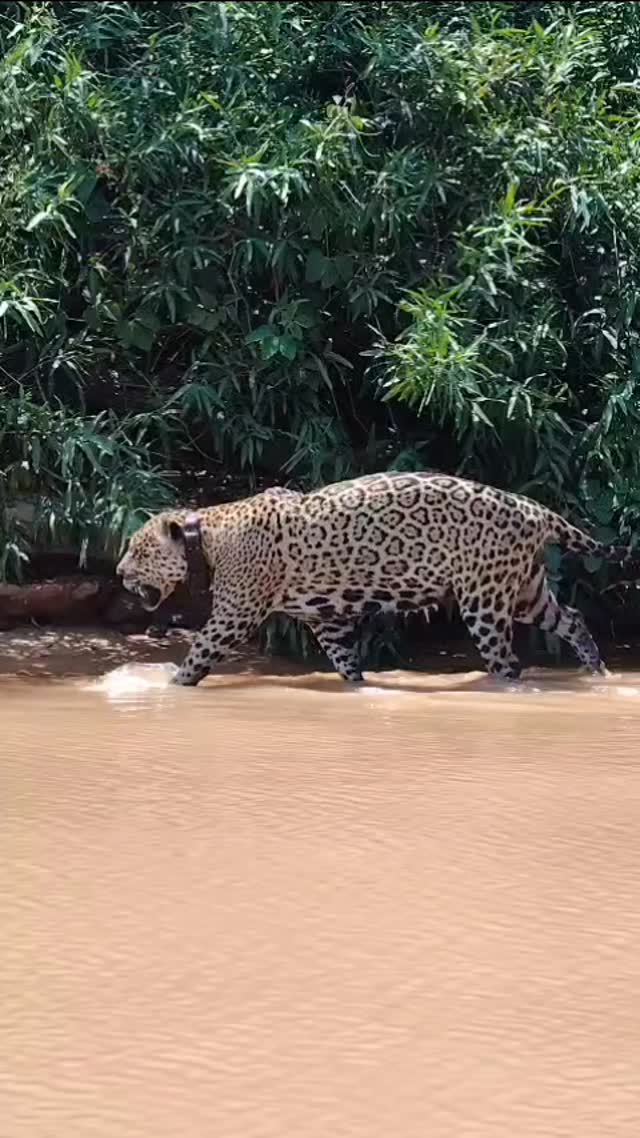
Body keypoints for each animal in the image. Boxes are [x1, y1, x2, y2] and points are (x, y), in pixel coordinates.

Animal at [115, 471, 636, 687]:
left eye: (137, 550)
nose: (118, 573)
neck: (207, 535)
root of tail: (534, 508)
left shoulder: (234, 615)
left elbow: (197, 656)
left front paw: (166, 687)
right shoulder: (325, 620)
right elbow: (345, 661)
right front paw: (360, 688)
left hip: (485, 602)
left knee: (508, 662)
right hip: (525, 590)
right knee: (571, 618)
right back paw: (597, 672)